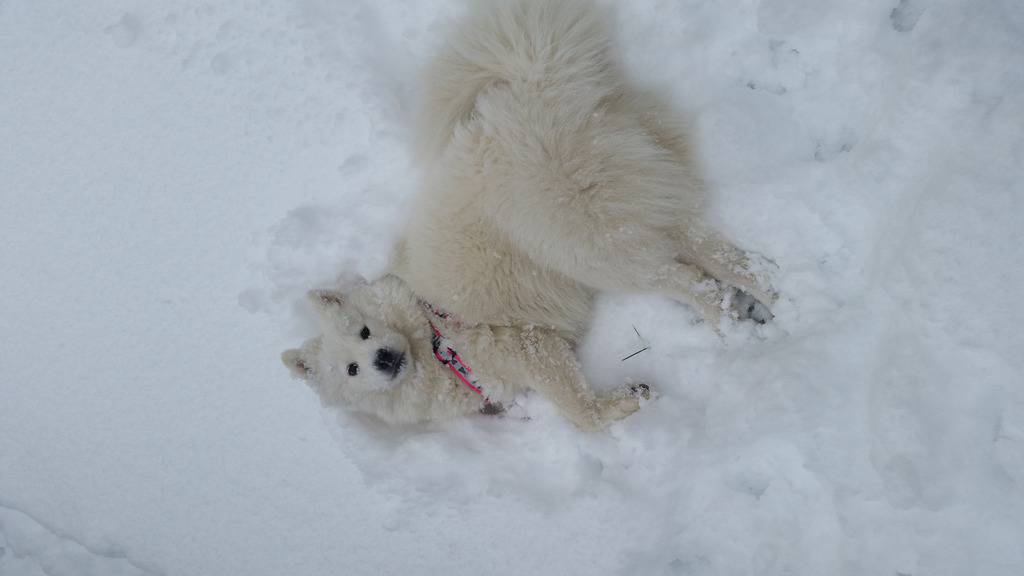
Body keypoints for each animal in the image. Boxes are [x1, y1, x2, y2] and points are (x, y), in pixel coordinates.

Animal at [280, 0, 774, 428]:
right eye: (351, 370)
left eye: (365, 333)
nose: (382, 359)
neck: (432, 330)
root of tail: (531, 81)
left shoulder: (525, 342)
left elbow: (582, 415)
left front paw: (628, 400)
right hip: (632, 202)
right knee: (718, 256)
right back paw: (773, 297)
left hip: (580, 241)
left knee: (690, 281)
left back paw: (730, 325)